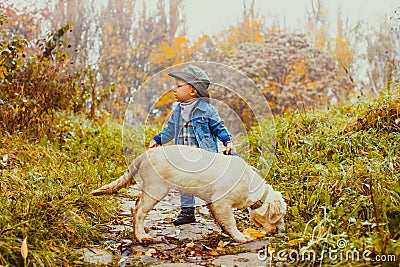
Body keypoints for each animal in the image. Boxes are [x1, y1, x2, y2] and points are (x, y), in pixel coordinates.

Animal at [90, 146, 284, 244]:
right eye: (279, 217)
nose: (281, 231)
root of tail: (145, 154)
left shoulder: (213, 203)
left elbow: (222, 221)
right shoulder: (222, 202)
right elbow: (231, 221)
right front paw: (240, 237)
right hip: (157, 188)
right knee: (138, 211)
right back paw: (141, 236)